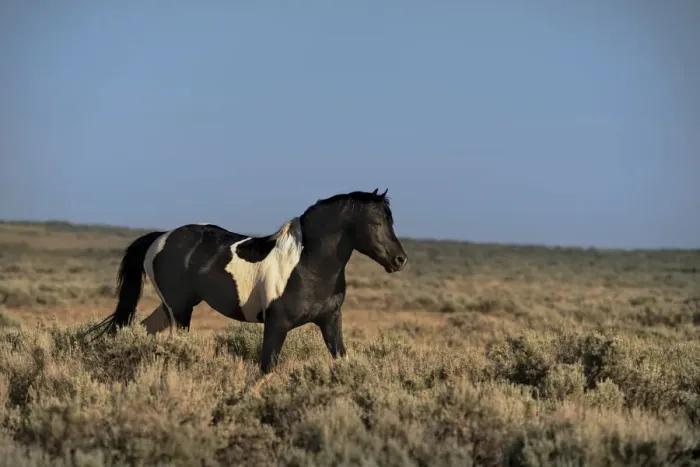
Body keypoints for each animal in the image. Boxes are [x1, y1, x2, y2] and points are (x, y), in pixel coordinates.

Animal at [84, 188, 408, 373]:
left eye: (391, 220)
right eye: (376, 222)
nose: (400, 260)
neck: (308, 264)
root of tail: (159, 237)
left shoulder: (330, 320)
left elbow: (342, 360)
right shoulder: (276, 325)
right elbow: (266, 368)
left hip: (169, 308)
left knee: (141, 331)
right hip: (179, 311)